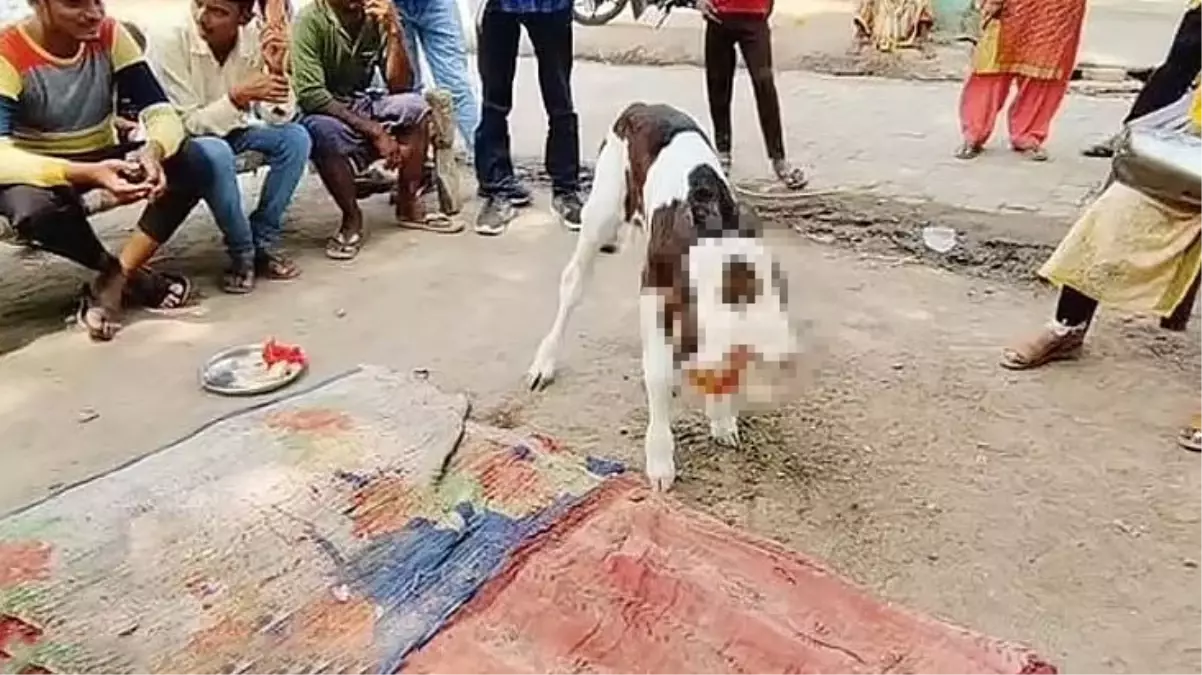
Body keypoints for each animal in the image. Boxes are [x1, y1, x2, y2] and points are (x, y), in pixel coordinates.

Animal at [526, 100, 798, 487]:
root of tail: (641, 106)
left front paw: (721, 418)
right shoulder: (656, 292)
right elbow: (657, 373)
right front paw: (660, 458)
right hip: (602, 211)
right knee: (573, 282)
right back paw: (544, 363)